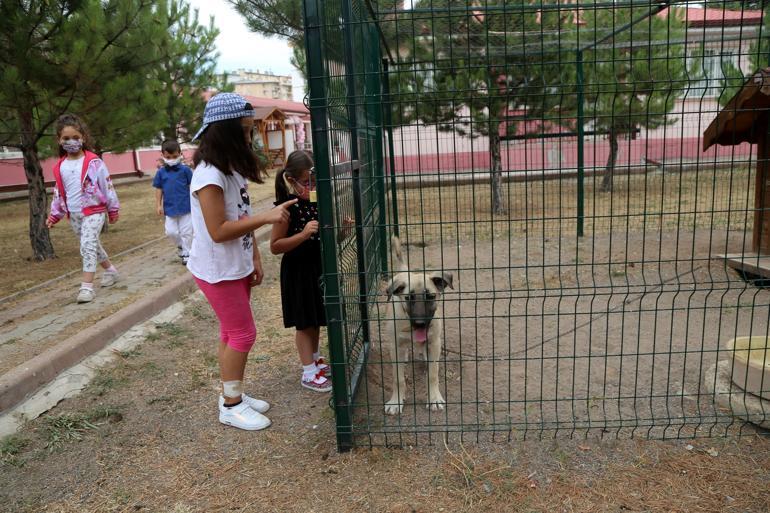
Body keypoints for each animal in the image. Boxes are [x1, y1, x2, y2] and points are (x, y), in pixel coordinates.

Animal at [382, 236, 450, 416]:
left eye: (430, 296)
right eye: (408, 298)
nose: (420, 323)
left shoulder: (434, 341)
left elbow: (433, 374)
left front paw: (434, 399)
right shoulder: (396, 345)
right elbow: (398, 378)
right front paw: (396, 401)